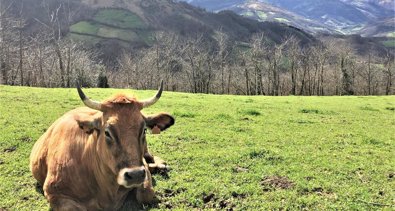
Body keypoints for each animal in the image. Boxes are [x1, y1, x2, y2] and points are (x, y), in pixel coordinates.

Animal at [29, 81, 175, 211]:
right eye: (107, 132)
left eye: (144, 129)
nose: (136, 175)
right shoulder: (54, 193)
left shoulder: (142, 169)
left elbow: (145, 194)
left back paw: (162, 165)